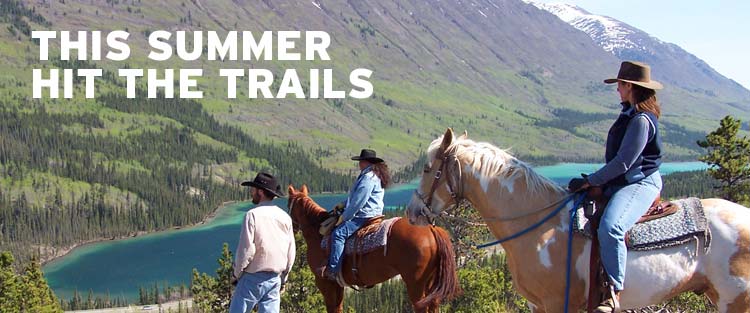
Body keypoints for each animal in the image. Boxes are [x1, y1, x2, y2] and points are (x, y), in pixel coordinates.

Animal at [288, 184, 464, 310]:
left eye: (289, 205)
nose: (292, 227)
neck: (318, 234)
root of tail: (431, 229)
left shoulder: (325, 283)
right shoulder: (338, 285)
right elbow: (338, 308)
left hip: (416, 284)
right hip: (431, 282)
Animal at [408, 127, 750, 312]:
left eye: (426, 168)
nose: (412, 212)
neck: (539, 228)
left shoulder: (559, 304)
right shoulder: (537, 305)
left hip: (736, 299)